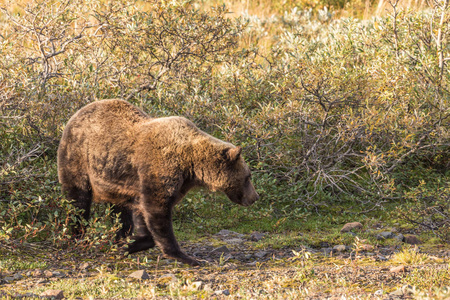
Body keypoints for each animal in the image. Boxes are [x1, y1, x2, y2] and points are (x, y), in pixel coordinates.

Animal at [58, 99, 258, 266]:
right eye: (248, 176)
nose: (255, 197)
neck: (191, 166)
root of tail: (74, 115)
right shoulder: (160, 169)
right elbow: (157, 211)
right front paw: (186, 256)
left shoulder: (167, 183)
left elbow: (141, 211)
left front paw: (129, 244)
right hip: (78, 159)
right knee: (78, 201)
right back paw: (77, 236)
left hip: (113, 180)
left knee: (120, 210)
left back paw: (118, 237)